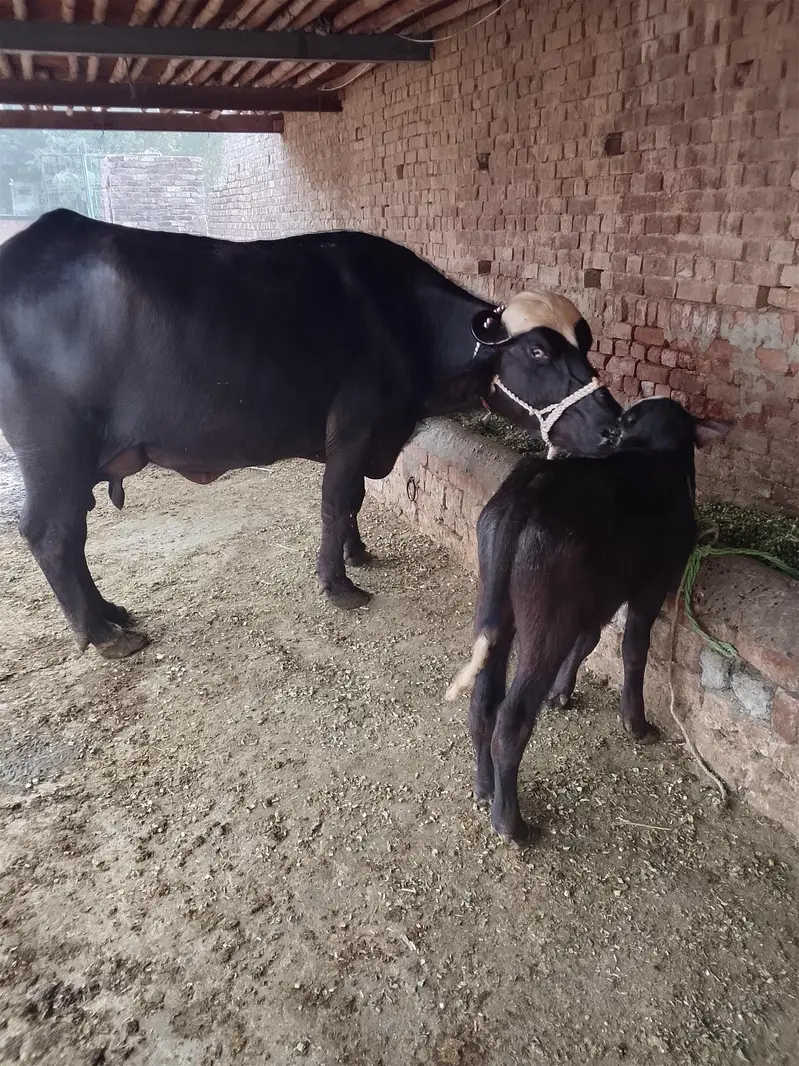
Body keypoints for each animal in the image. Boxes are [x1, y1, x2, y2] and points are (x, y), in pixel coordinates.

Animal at [0, 210, 621, 659]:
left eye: (586, 342)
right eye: (537, 351)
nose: (613, 426)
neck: (404, 320)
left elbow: (356, 500)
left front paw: (359, 553)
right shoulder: (353, 426)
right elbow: (337, 498)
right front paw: (338, 583)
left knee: (69, 535)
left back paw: (110, 613)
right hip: (54, 452)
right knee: (51, 533)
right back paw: (103, 635)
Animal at [445, 397, 733, 845]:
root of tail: (529, 489)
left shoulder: (599, 599)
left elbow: (590, 639)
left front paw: (562, 694)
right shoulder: (650, 584)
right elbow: (633, 649)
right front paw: (636, 723)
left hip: (494, 605)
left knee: (483, 702)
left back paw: (484, 788)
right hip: (549, 617)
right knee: (512, 717)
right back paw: (511, 823)